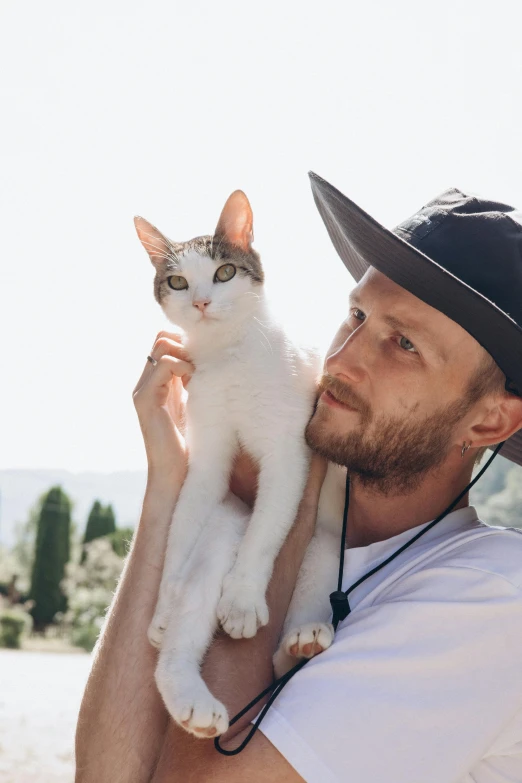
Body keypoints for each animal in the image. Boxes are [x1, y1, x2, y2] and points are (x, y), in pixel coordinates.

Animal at [134, 193, 346, 740]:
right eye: (178, 282)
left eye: (225, 271)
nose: (202, 302)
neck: (230, 356)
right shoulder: (208, 461)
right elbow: (180, 532)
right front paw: (164, 604)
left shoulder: (289, 455)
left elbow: (266, 532)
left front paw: (244, 599)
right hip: (225, 526)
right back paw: (191, 698)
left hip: (323, 542)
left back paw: (302, 639)